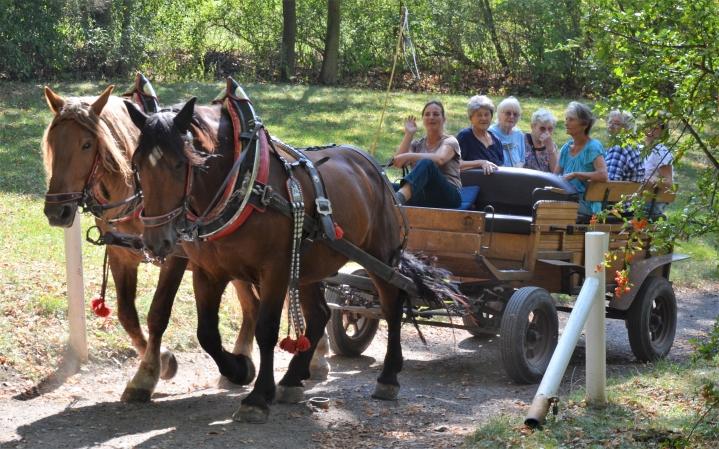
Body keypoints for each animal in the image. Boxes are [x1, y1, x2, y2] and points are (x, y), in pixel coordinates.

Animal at [40, 86, 284, 400]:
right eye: (52, 143)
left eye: (86, 144)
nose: (56, 211)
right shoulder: (120, 255)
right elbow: (127, 314)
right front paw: (163, 361)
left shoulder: (175, 257)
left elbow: (157, 313)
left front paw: (147, 374)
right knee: (252, 305)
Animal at [126, 96, 424, 422]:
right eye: (137, 164)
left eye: (181, 164)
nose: (156, 241)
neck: (245, 182)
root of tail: (371, 166)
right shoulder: (208, 272)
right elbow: (207, 333)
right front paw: (240, 369)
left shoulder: (275, 271)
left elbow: (266, 329)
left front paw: (257, 396)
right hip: (309, 264)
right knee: (320, 314)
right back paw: (293, 378)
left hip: (379, 255)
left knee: (391, 306)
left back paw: (388, 376)